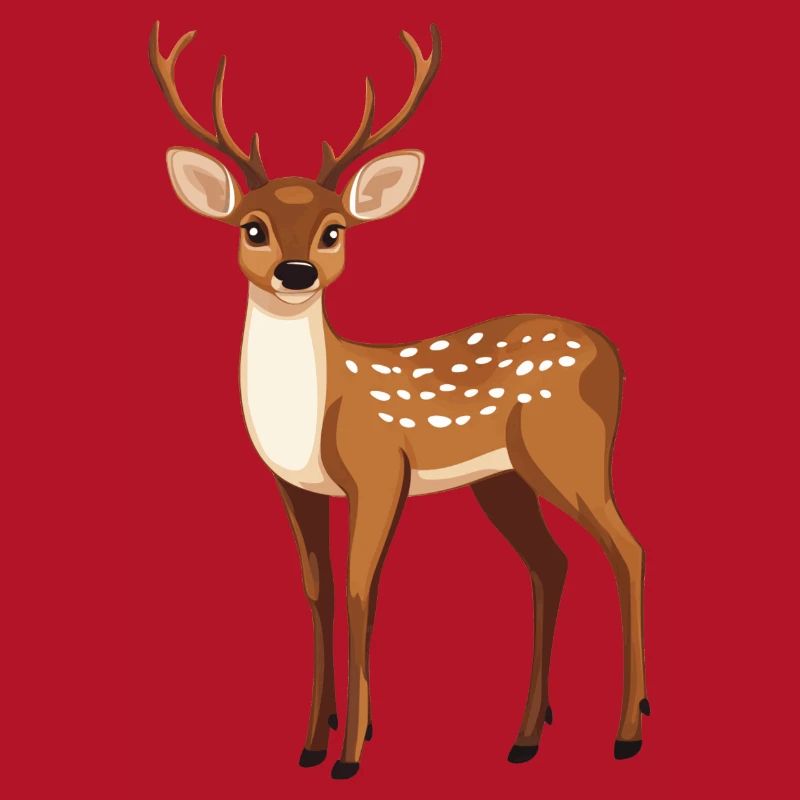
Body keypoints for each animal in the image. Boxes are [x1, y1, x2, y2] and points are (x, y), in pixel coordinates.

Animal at [148, 20, 649, 779]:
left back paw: (627, 732)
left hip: (568, 452)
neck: (310, 415)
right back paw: (525, 737)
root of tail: (612, 354)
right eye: (251, 227)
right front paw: (312, 741)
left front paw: (351, 753)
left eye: (335, 230)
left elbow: (361, 591)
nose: (297, 273)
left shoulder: (380, 469)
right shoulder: (293, 486)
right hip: (503, 478)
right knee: (551, 563)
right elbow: (320, 592)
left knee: (627, 550)